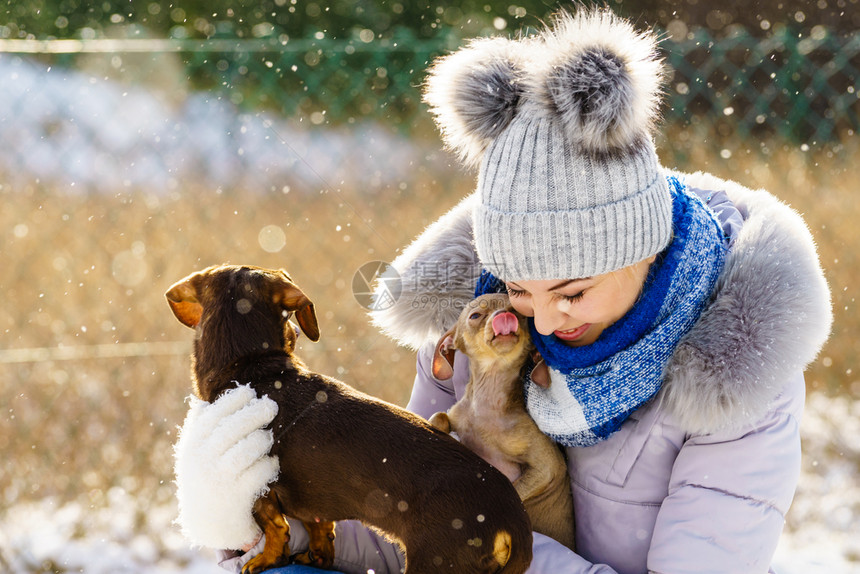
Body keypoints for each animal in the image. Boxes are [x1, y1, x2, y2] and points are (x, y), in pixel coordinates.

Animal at [165, 266, 536, 574]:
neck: (254, 368)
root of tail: (513, 523)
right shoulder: (314, 508)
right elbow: (318, 528)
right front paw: (318, 556)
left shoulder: (259, 491)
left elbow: (276, 530)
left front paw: (264, 560)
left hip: (435, 562)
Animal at [430, 294, 576, 552]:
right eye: (475, 315)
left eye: (518, 313)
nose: (504, 316)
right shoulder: (456, 416)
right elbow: (440, 416)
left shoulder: (547, 467)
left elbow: (513, 490)